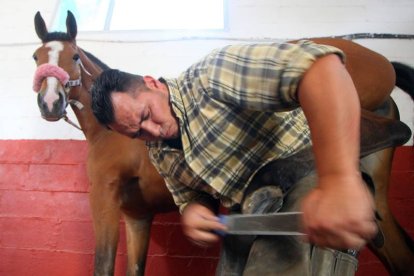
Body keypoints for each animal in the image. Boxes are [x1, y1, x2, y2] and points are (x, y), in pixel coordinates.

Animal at [33, 11, 414, 276]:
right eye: (37, 57)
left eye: (74, 57)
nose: (50, 103)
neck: (106, 134)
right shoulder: (137, 216)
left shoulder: (104, 198)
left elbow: (103, 265)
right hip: (376, 195)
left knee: (393, 129)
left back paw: (267, 187)